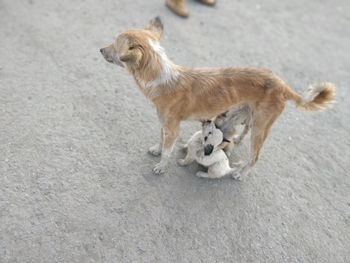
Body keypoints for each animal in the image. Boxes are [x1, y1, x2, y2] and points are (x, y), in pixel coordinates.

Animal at [100, 16, 336, 177]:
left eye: (115, 44)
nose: (101, 49)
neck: (162, 77)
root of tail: (283, 84)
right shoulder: (165, 124)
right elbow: (161, 141)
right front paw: (157, 150)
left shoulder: (172, 128)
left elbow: (167, 150)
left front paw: (161, 166)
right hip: (244, 115)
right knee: (245, 130)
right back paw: (237, 141)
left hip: (261, 127)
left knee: (255, 156)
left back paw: (241, 173)